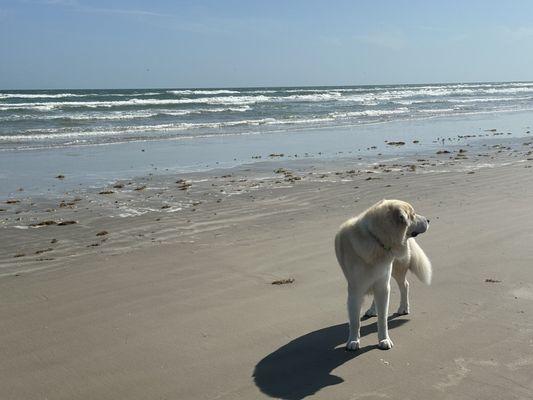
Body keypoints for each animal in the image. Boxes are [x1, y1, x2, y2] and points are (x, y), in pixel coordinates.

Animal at [334, 200, 430, 350]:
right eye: (413, 215)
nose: (428, 220)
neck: (376, 240)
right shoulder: (355, 290)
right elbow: (355, 320)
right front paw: (353, 341)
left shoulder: (383, 285)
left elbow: (383, 318)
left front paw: (384, 340)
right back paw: (373, 310)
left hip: (396, 270)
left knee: (405, 285)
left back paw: (403, 308)